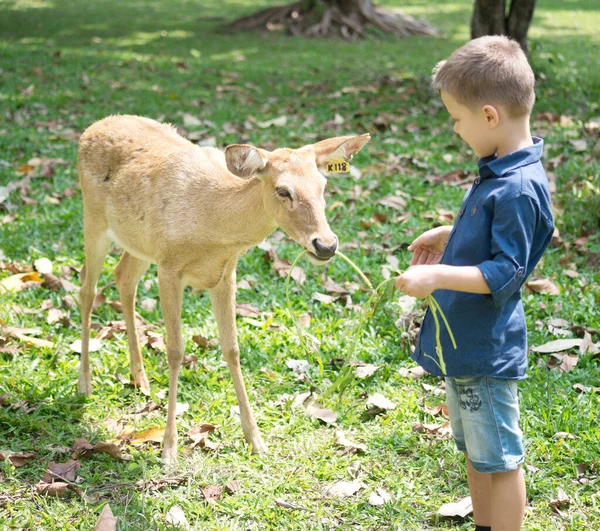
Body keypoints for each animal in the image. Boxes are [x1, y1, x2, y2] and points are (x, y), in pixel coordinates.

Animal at [77, 114, 370, 464]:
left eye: (323, 186)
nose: (326, 245)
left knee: (123, 278)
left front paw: (255, 439)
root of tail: (92, 127)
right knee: (87, 288)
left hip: (138, 244)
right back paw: (85, 384)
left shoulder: (226, 272)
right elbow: (175, 350)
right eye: (283, 190)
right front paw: (169, 448)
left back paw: (140, 378)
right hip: (94, 219)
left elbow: (232, 348)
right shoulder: (169, 267)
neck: (213, 225)